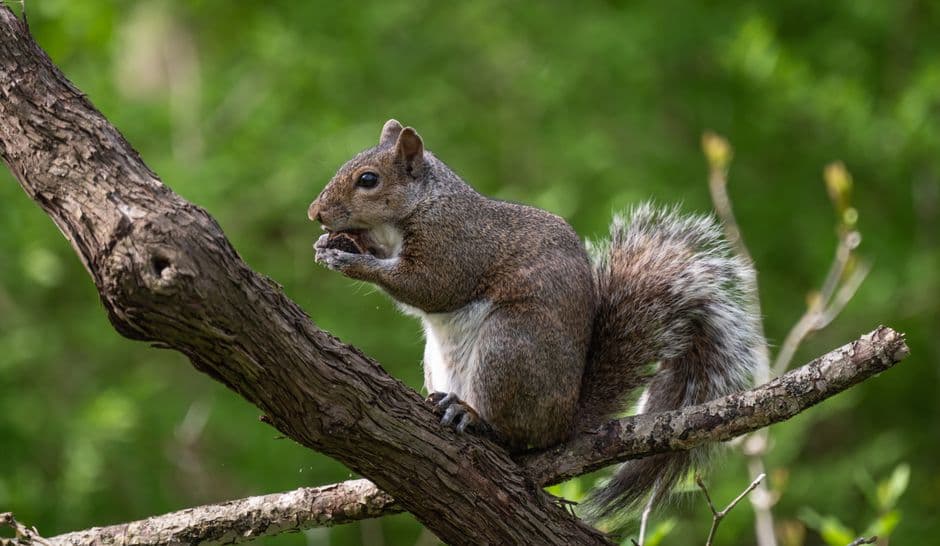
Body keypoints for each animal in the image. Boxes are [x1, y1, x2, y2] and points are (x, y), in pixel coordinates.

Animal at [307, 119, 763, 519]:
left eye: (368, 180)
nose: (315, 213)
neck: (422, 205)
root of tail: (565, 423)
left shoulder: (455, 246)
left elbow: (429, 287)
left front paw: (351, 261)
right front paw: (337, 244)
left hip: (509, 346)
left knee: (515, 436)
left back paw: (473, 418)